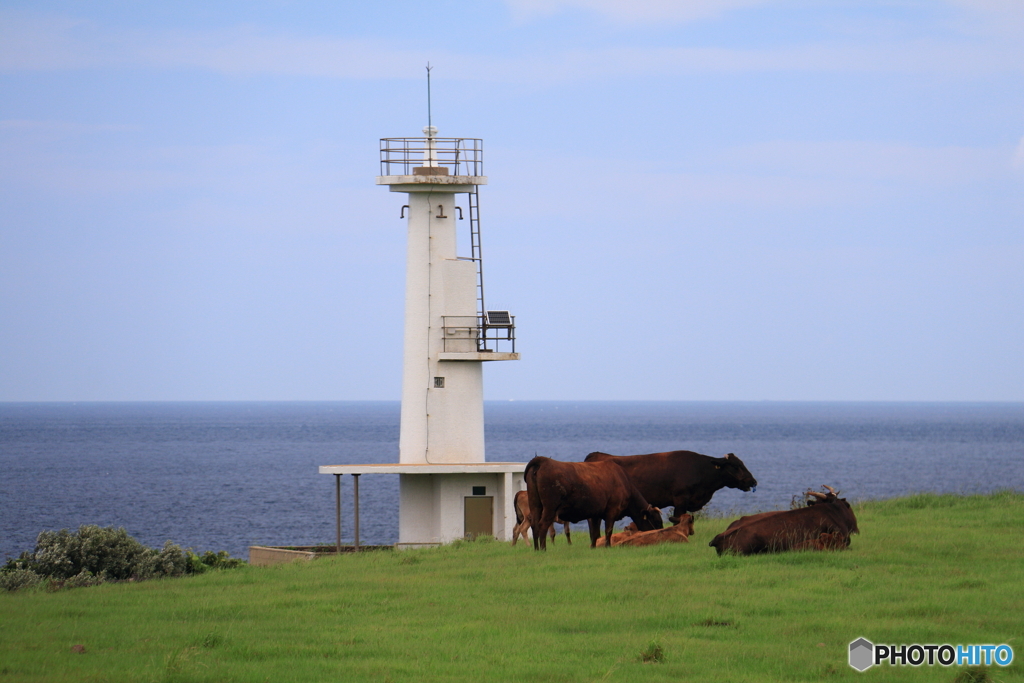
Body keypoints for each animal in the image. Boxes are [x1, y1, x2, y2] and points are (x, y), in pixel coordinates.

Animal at [524, 454, 659, 548]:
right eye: (655, 521)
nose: (659, 533)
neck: (623, 480)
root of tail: (543, 460)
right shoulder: (612, 510)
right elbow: (608, 530)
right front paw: (607, 546)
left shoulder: (595, 514)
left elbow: (595, 532)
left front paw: (593, 547)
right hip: (550, 507)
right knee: (542, 524)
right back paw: (543, 549)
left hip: (535, 504)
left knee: (534, 524)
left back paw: (536, 549)